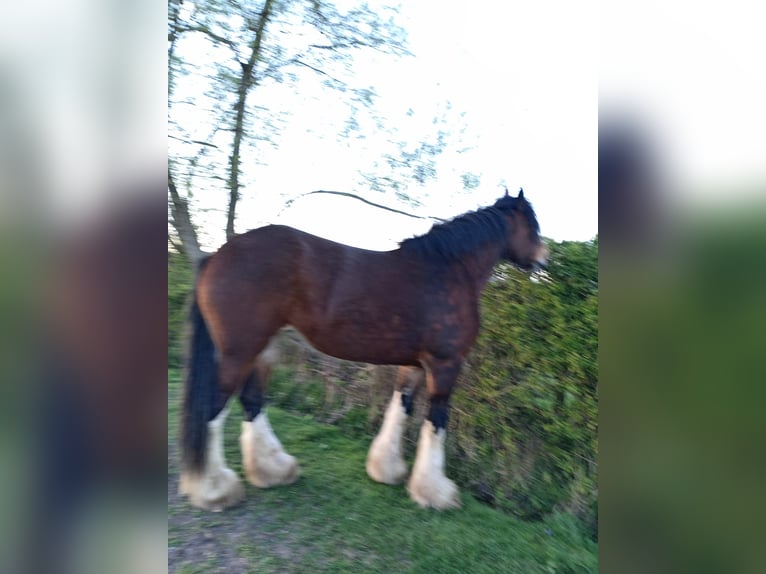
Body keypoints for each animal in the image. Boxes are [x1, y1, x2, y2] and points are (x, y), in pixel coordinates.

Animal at [179, 188, 548, 511]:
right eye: (532, 223)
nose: (544, 260)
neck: (450, 269)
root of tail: (218, 255)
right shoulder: (445, 365)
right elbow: (436, 422)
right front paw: (436, 493)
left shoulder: (414, 364)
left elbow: (400, 407)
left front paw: (387, 470)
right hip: (238, 352)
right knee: (213, 409)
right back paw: (215, 490)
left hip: (262, 350)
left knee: (252, 401)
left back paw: (273, 471)